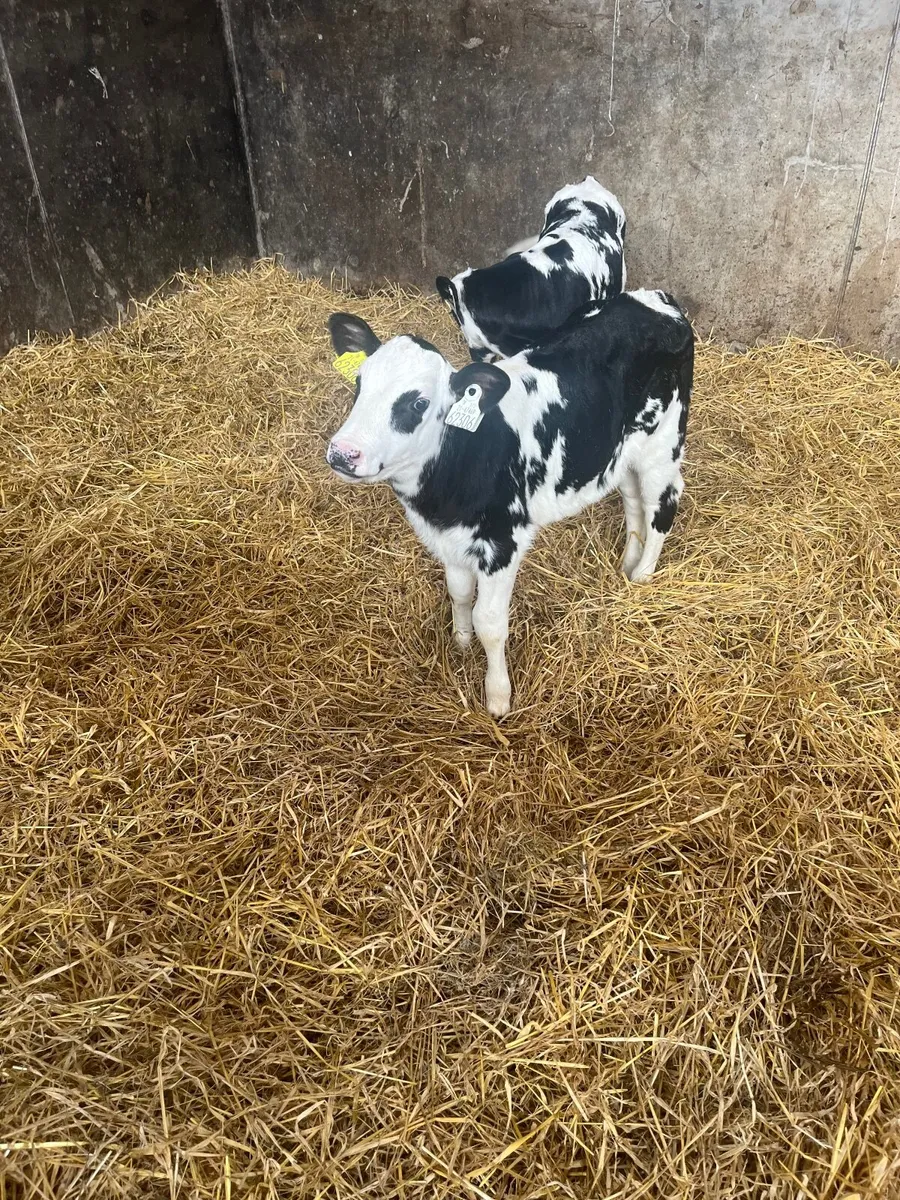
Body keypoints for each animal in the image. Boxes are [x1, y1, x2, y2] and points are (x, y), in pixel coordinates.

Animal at [325, 288, 693, 718]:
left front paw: (498, 695)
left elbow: (490, 621)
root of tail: (657, 298)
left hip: (663, 443)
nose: (343, 453)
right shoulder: (450, 539)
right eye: (359, 383)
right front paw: (460, 641)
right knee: (633, 499)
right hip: (621, 454)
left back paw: (642, 575)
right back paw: (626, 564)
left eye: (418, 403)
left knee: (663, 503)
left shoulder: (502, 542)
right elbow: (458, 592)